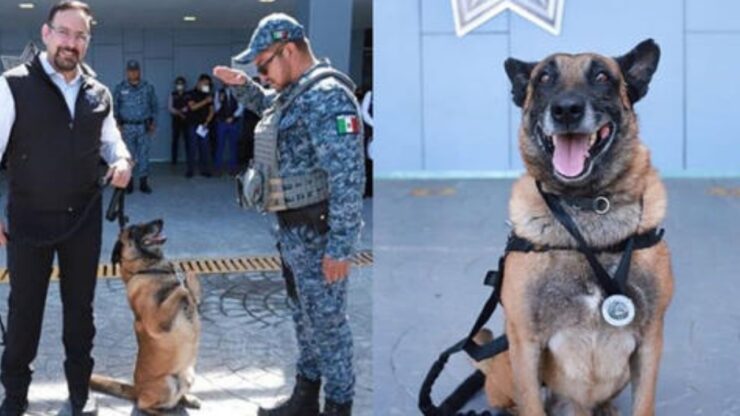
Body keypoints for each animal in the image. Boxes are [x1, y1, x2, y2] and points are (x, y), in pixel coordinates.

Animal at [91, 219, 204, 414]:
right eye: (134, 229)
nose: (160, 220)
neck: (152, 269)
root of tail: (136, 389)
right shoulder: (157, 322)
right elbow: (180, 290)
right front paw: (181, 282)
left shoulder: (193, 300)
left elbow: (191, 287)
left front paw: (186, 275)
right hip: (167, 382)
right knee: (143, 405)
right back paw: (160, 412)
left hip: (189, 374)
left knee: (177, 399)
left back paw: (188, 399)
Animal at [474, 39, 676, 416]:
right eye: (544, 78)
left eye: (601, 76)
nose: (566, 110)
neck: (587, 207)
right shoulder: (526, 342)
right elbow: (531, 406)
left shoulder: (650, 339)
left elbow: (643, 404)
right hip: (509, 363)